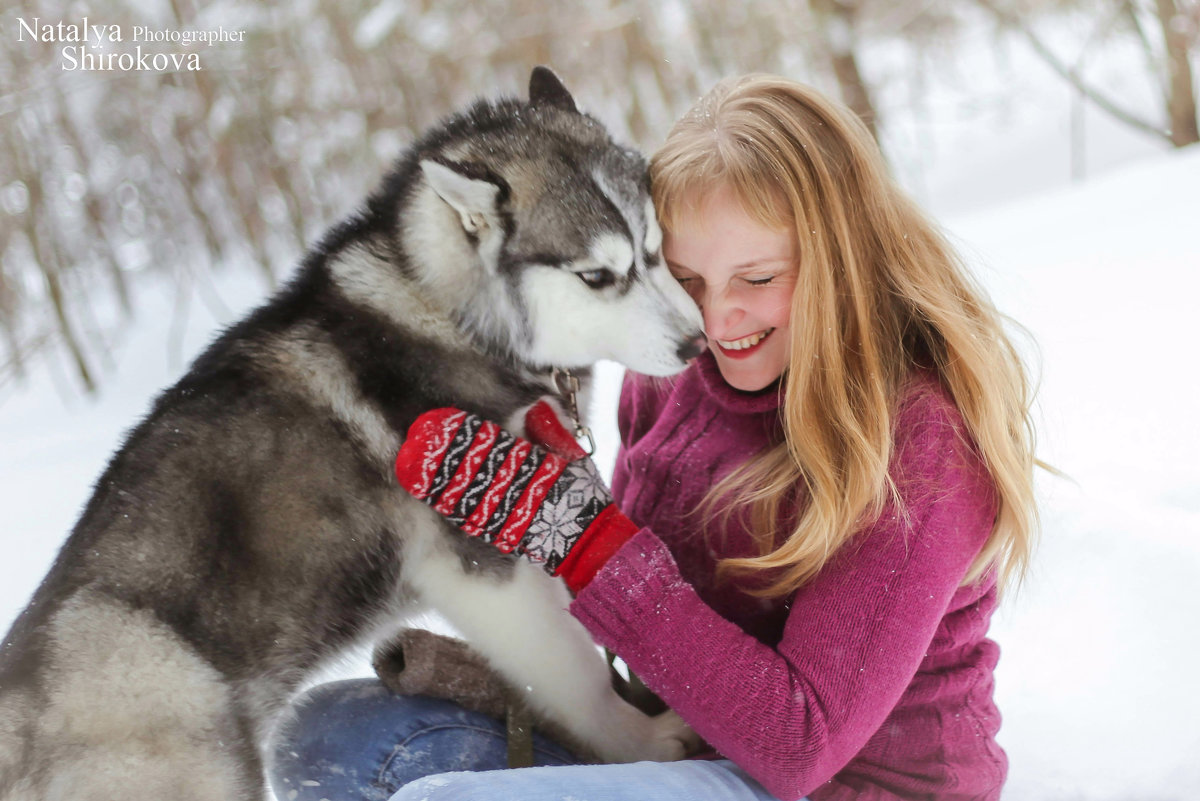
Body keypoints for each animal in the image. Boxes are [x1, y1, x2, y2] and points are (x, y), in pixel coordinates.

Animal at [0, 68, 700, 801]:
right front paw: (639, 742)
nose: (695, 343)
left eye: (655, 250)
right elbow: (576, 673)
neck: (449, 312)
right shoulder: (484, 567)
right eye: (598, 276)